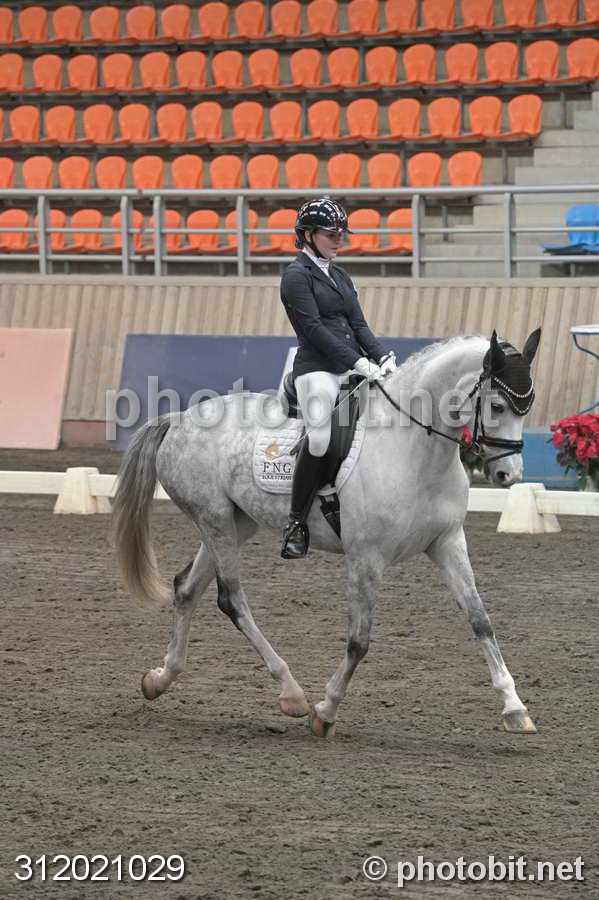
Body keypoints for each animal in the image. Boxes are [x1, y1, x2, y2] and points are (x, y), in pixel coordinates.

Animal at [112, 329, 541, 738]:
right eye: (497, 407)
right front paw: (325, 711)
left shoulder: (448, 542)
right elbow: (359, 641)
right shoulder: (365, 558)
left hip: (234, 523)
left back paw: (159, 679)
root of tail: (180, 418)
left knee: (187, 588)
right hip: (214, 518)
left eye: (528, 406)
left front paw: (515, 708)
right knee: (231, 599)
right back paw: (292, 694)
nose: (509, 475)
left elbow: (480, 619)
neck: (415, 450)